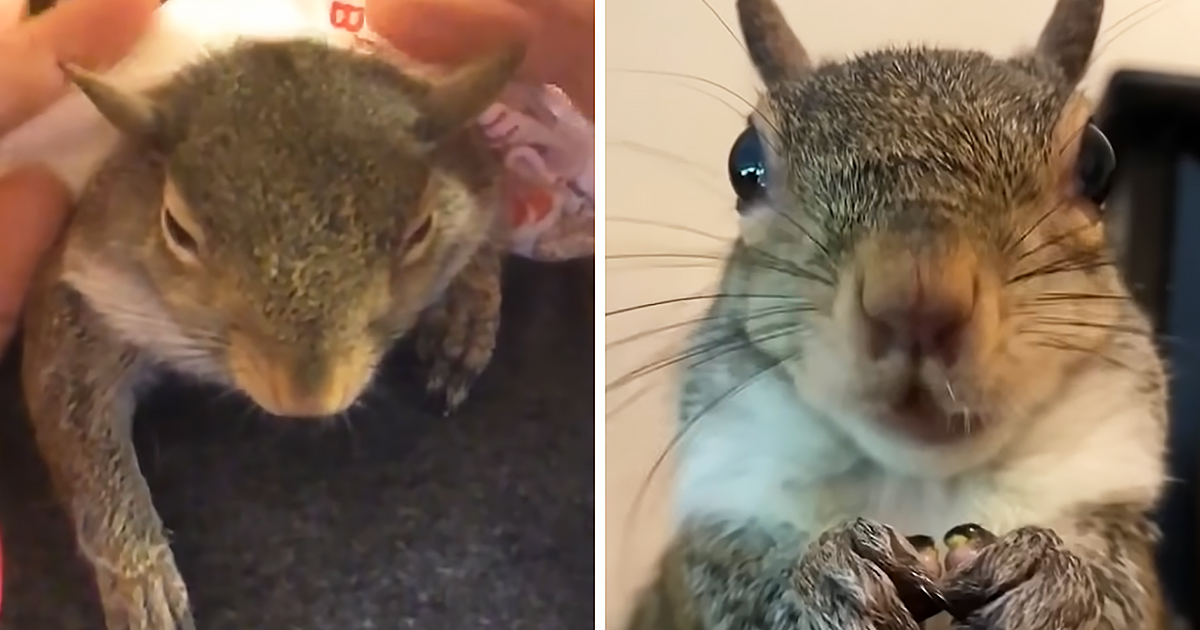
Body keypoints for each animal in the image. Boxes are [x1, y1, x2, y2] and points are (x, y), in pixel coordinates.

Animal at [18, 37, 523, 629]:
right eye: (177, 229)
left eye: (421, 229)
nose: (307, 398)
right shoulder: (91, 284)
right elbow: (81, 431)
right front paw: (140, 574)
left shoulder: (475, 171)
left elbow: (485, 230)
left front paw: (467, 310)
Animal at [623, 0, 1172, 629]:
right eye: (744, 164)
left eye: (1098, 164)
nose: (916, 298)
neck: (921, 484)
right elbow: (738, 586)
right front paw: (828, 580)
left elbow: (1121, 591)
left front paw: (1053, 582)